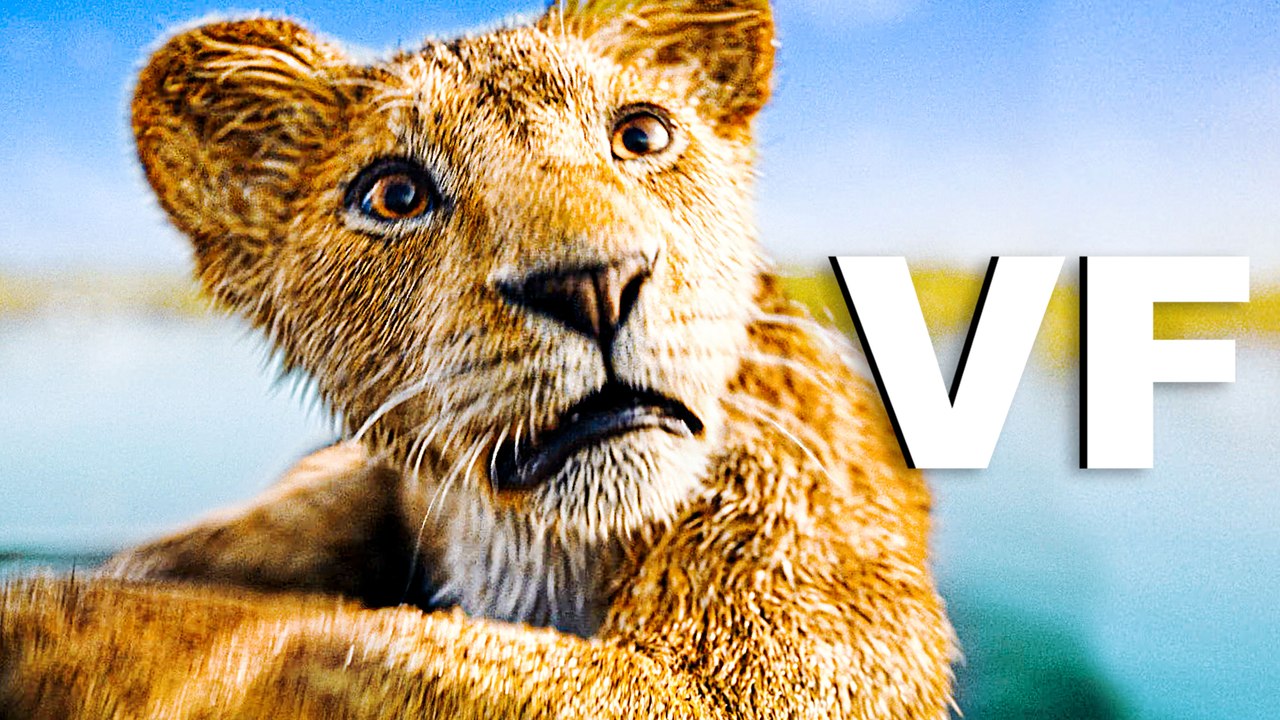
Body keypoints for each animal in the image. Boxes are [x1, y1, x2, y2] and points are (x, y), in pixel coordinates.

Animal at [0, 1, 956, 717]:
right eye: (394, 193)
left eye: (643, 135)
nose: (594, 284)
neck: (531, 551)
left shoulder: (776, 660)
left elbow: (302, 636)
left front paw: (52, 625)